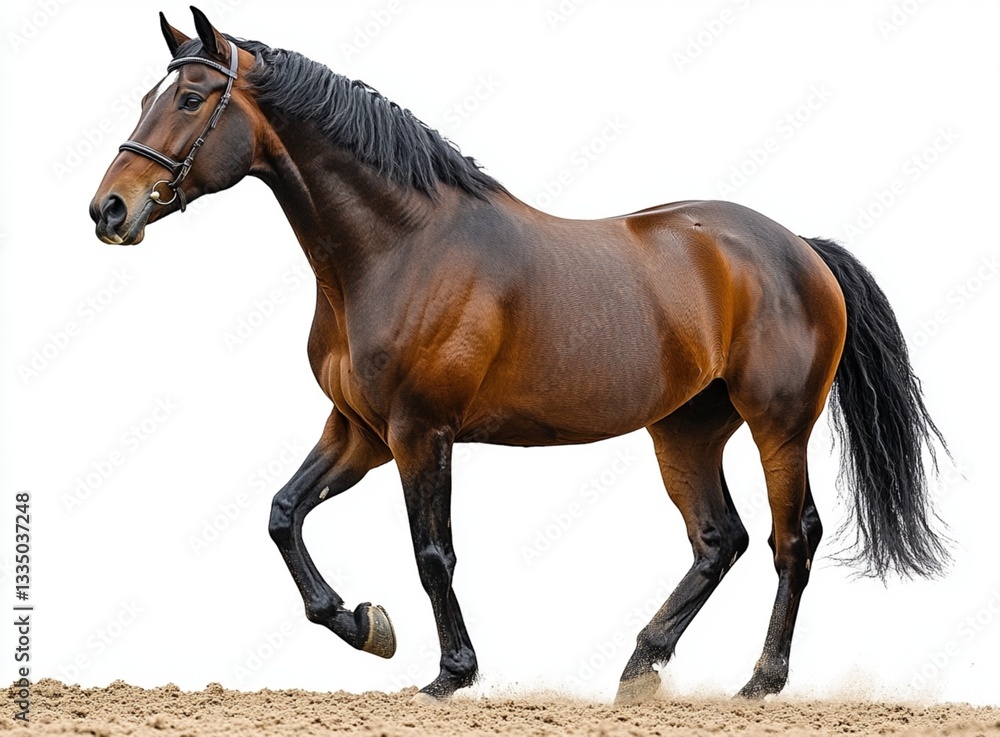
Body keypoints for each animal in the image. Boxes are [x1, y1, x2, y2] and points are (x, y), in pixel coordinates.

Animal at [90, 8, 948, 703]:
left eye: (191, 99)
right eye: (145, 99)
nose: (109, 209)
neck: (401, 246)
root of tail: (800, 247)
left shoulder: (419, 431)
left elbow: (432, 552)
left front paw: (450, 673)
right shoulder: (359, 429)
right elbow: (282, 514)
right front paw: (365, 624)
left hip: (779, 425)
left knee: (790, 539)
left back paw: (759, 682)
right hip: (685, 428)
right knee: (719, 540)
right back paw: (641, 667)